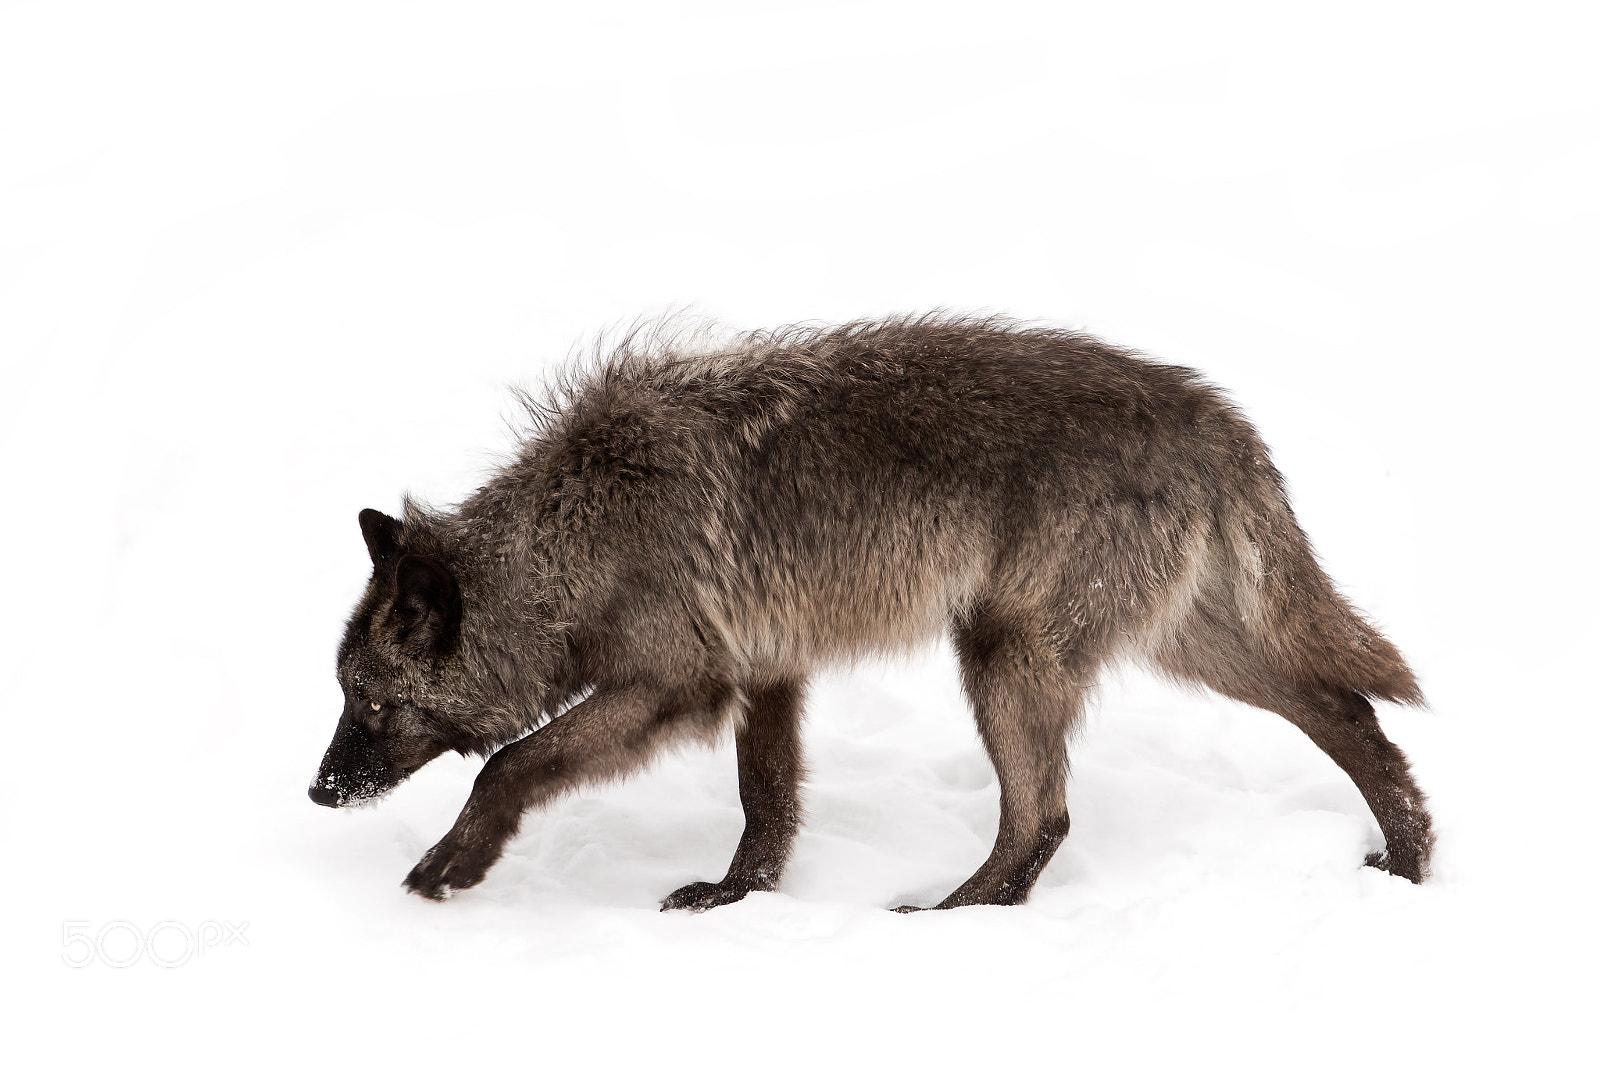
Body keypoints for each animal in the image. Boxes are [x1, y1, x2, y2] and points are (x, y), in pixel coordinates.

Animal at [310, 316, 1433, 910]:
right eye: (345, 693)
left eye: (372, 703)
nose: (320, 792)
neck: (578, 532)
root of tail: (1209, 409)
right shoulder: (766, 673)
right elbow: (767, 805)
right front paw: (735, 900)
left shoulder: (679, 686)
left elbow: (507, 764)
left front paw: (450, 866)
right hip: (1182, 647)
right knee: (1350, 714)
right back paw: (1410, 860)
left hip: (1005, 655)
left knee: (1044, 818)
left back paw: (946, 917)